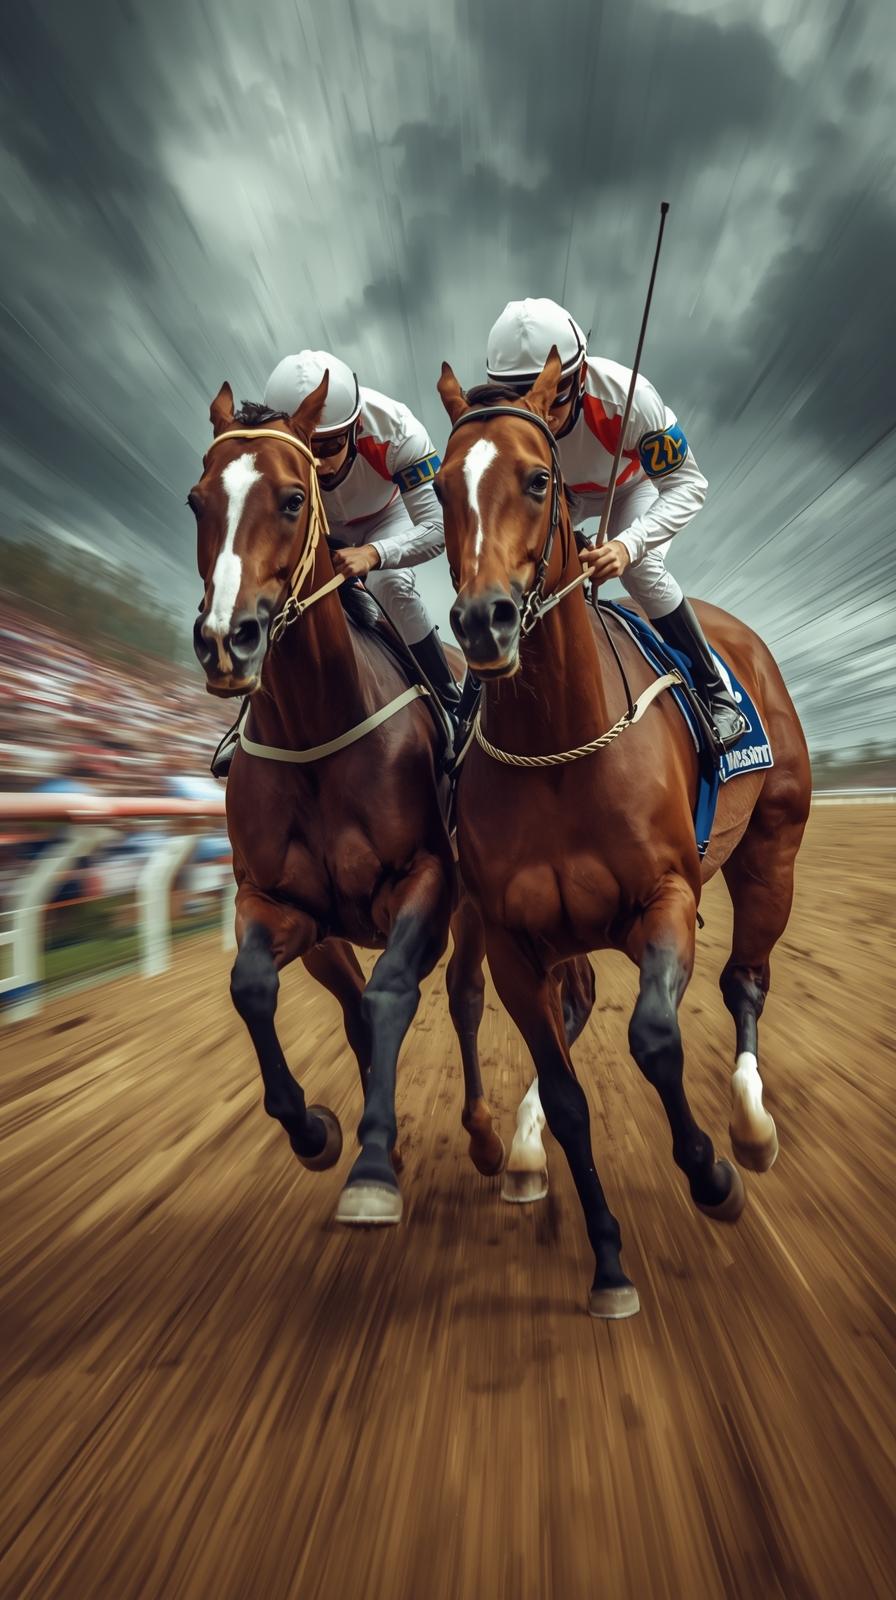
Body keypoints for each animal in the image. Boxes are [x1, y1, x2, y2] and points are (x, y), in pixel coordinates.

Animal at [189, 375, 505, 1224]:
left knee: (465, 999)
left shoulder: (426, 882)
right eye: (197, 500)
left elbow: (392, 994)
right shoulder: (285, 906)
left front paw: (372, 1163)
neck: (316, 730)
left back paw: (488, 1140)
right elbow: (258, 990)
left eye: (293, 498)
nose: (227, 640)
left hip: (473, 903)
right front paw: (319, 1131)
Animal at [435, 350, 812, 1317]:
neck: (559, 747)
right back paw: (528, 1155)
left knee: (746, 980)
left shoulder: (666, 899)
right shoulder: (512, 940)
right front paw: (607, 1261)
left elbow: (654, 1039)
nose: (483, 621)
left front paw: (712, 1178)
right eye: (442, 488)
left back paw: (751, 1125)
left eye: (538, 480)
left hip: (772, 849)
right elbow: (571, 1096)